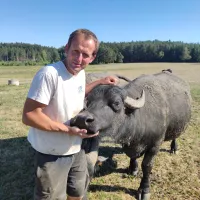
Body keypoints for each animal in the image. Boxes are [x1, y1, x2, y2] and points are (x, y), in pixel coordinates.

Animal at [72, 71, 192, 200]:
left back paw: (174, 148)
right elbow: (132, 156)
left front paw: (144, 190)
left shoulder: (155, 144)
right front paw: (133, 169)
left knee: (175, 136)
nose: (81, 119)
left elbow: (147, 166)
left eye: (116, 103)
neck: (139, 118)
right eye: (88, 102)